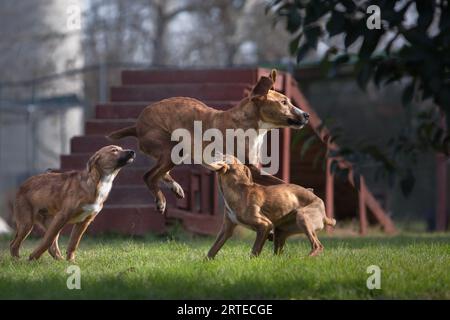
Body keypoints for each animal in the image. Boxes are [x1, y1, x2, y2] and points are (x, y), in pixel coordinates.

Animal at [108, 70, 310, 215]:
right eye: (284, 102)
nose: (306, 115)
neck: (251, 125)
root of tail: (137, 125)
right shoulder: (252, 169)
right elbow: (282, 182)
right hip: (169, 149)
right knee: (149, 176)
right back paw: (161, 201)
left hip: (177, 151)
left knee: (160, 173)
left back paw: (175, 187)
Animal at [206, 156, 336, 260]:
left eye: (225, 155)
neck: (238, 189)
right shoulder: (227, 229)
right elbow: (212, 250)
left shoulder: (265, 225)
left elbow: (255, 251)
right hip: (280, 232)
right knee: (279, 254)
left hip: (302, 217)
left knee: (317, 246)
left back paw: (304, 259)